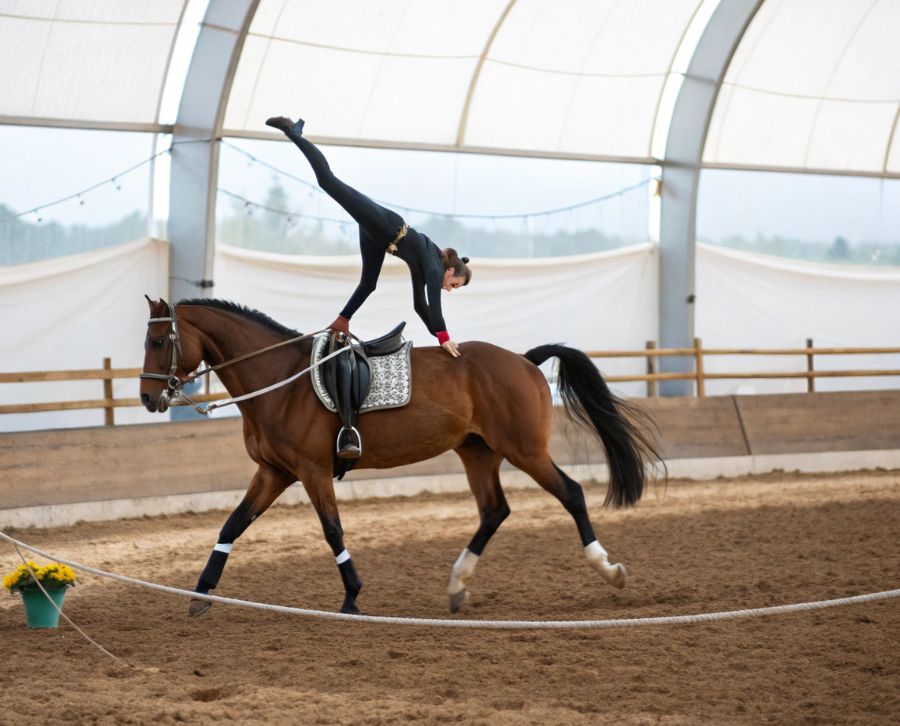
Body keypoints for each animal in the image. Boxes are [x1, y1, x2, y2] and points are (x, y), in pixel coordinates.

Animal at [139, 298, 660, 616]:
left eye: (159, 342)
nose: (148, 398)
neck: (279, 380)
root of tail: (525, 361)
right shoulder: (274, 473)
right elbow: (232, 525)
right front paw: (200, 592)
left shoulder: (311, 471)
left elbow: (332, 530)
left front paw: (352, 596)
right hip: (478, 452)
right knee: (495, 511)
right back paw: (456, 585)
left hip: (525, 450)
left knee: (571, 494)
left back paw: (608, 569)